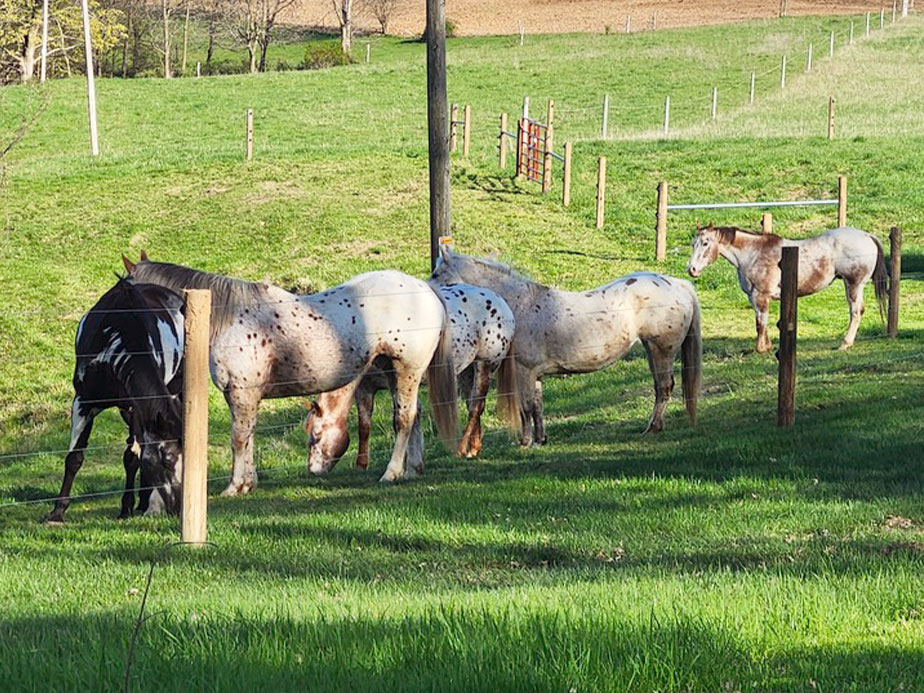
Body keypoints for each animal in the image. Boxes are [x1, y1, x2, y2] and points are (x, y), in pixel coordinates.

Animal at [44, 278, 185, 520]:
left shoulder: (136, 408)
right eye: (167, 459)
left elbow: (132, 457)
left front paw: (126, 506)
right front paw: (57, 512)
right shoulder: (83, 402)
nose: (178, 507)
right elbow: (74, 458)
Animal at [128, 256, 460, 490]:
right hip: (396, 373)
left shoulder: (241, 395)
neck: (227, 318)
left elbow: (239, 438)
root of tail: (426, 291)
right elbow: (249, 436)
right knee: (414, 416)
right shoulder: (246, 398)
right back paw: (413, 469)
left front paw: (235, 486)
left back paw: (391, 473)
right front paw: (248, 484)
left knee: (403, 420)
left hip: (406, 370)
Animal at [432, 246, 700, 446]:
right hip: (651, 350)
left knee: (664, 387)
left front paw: (525, 442)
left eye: (437, 274)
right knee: (660, 387)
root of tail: (678, 284)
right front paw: (540, 439)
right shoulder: (535, 374)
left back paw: (653, 427)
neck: (519, 305)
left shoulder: (524, 370)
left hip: (661, 350)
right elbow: (537, 407)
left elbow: (525, 407)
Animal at [684, 223, 888, 352]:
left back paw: (845, 343)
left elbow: (761, 323)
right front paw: (767, 346)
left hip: (853, 285)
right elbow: (760, 322)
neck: (754, 253)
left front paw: (761, 348)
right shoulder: (754, 297)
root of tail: (867, 236)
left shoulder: (761, 296)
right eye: (693, 244)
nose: (691, 269)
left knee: (855, 312)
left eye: (705, 243)